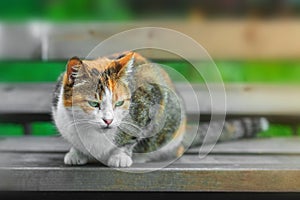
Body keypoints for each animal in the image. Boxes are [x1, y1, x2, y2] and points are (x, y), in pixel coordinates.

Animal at [51, 51, 270, 167]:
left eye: (119, 104)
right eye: (94, 104)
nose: (108, 120)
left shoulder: (151, 99)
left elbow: (132, 137)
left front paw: (121, 156)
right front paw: (76, 152)